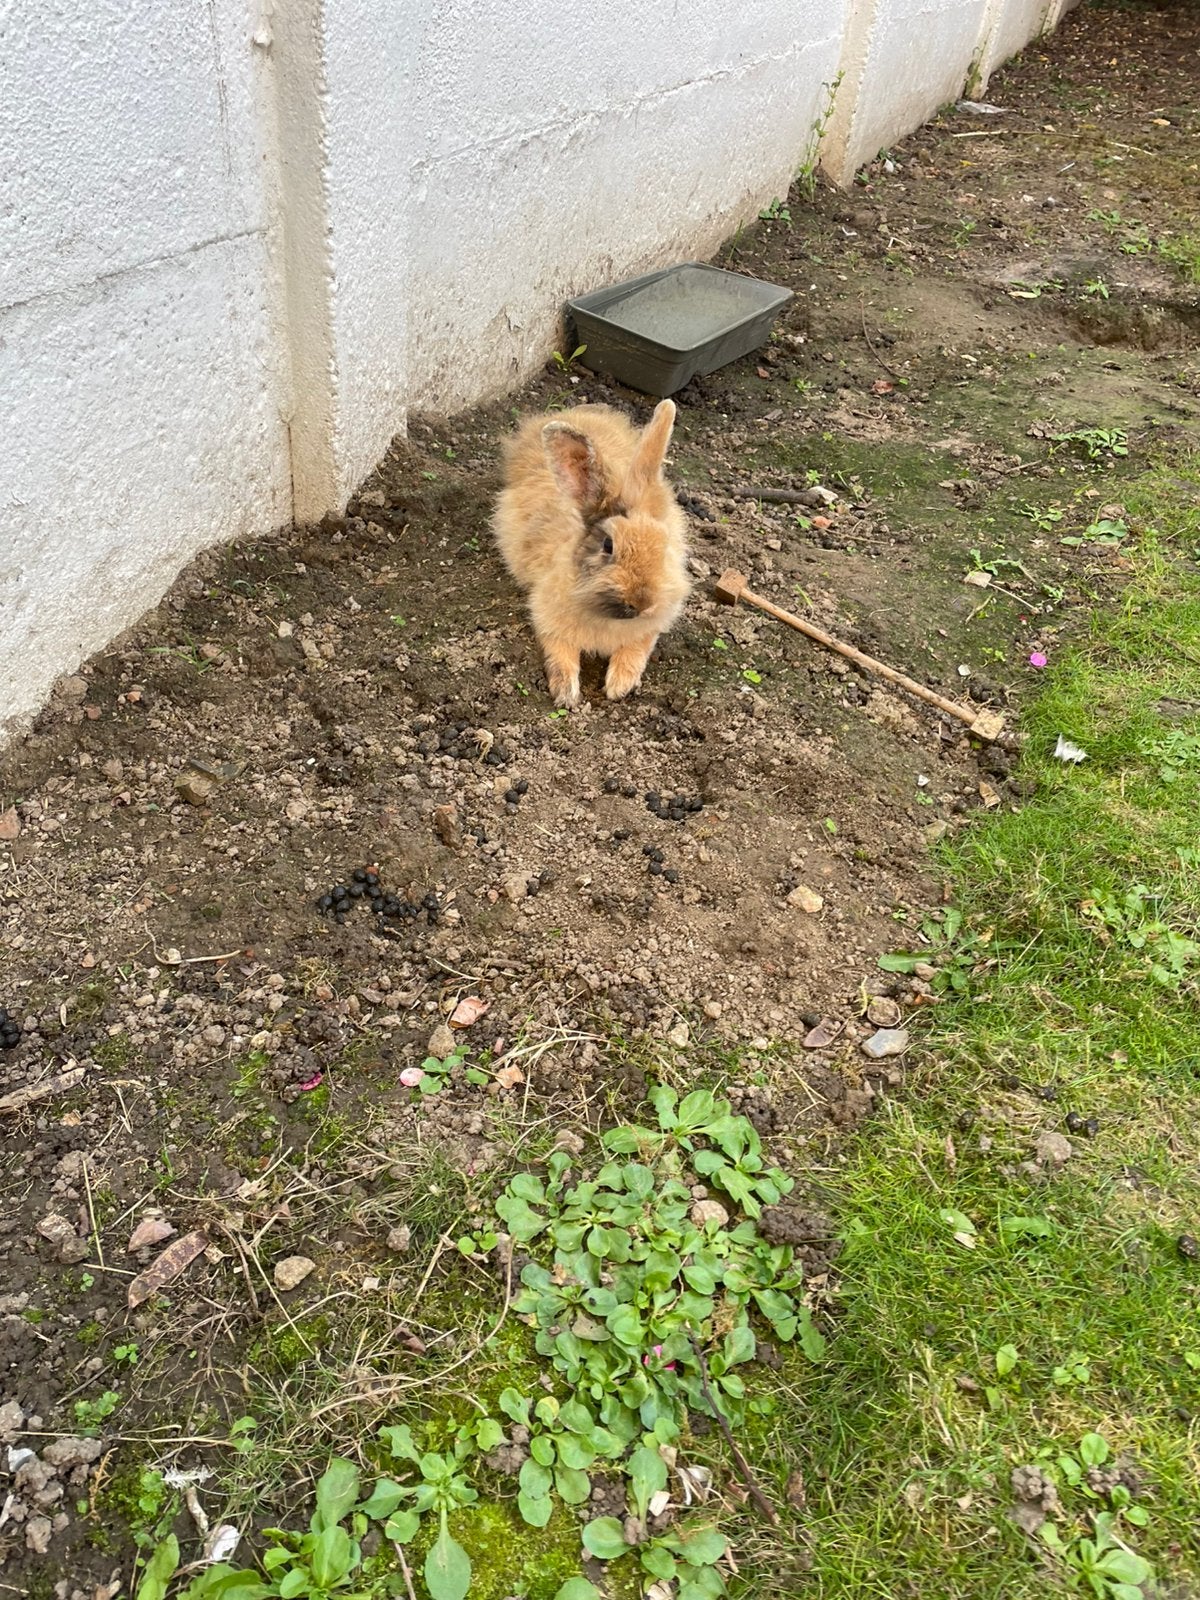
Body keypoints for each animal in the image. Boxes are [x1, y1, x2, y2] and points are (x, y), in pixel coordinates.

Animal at [493, 399, 690, 707]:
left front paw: (619, 686)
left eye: (664, 543)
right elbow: (560, 654)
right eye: (608, 545)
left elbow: (637, 650)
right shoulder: (548, 620)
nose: (643, 602)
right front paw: (566, 694)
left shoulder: (652, 626)